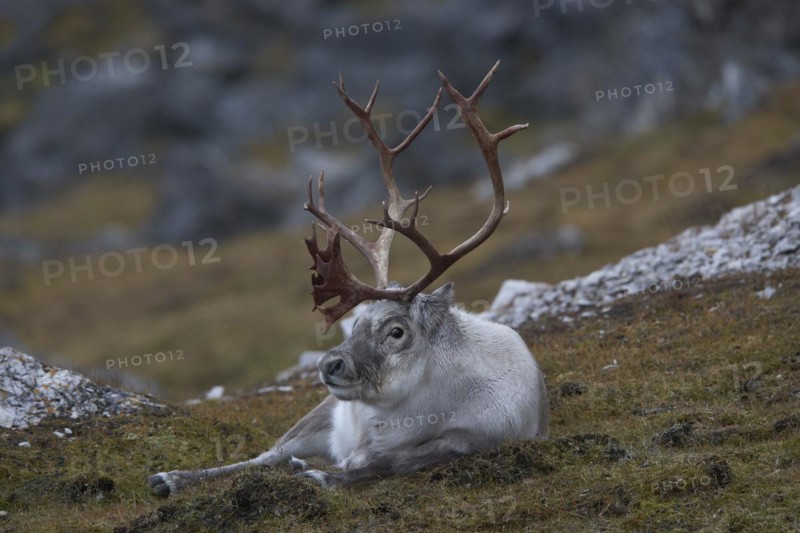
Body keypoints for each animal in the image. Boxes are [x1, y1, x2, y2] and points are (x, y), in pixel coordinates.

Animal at [148, 61, 549, 496]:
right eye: (354, 323)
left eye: (396, 331)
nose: (329, 364)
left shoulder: (473, 438)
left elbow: (390, 462)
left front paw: (323, 473)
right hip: (319, 412)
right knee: (265, 456)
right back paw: (169, 477)